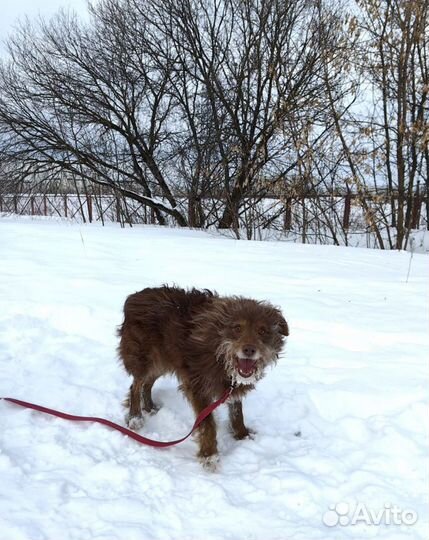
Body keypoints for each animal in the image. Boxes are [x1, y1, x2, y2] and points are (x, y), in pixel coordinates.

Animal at [117, 286, 288, 468]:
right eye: (237, 328)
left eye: (262, 331)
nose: (249, 350)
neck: (220, 355)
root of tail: (134, 296)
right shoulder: (197, 386)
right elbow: (207, 423)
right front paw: (209, 455)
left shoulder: (231, 385)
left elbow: (237, 412)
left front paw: (242, 435)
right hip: (144, 358)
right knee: (136, 385)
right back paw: (135, 417)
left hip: (163, 360)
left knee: (147, 383)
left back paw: (150, 407)